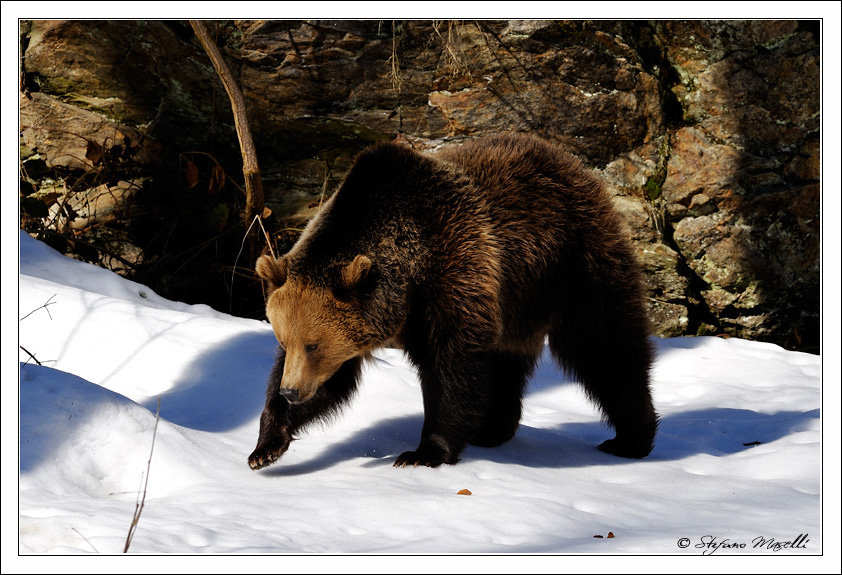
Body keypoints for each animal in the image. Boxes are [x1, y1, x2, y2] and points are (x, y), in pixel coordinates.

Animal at [249, 134, 656, 472]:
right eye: (284, 340)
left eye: (313, 344)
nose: (291, 391)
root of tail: (572, 163)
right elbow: (333, 382)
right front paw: (266, 446)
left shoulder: (452, 278)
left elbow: (451, 370)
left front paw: (422, 452)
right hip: (515, 305)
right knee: (506, 363)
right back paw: (492, 430)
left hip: (574, 266)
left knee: (605, 349)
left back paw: (630, 439)